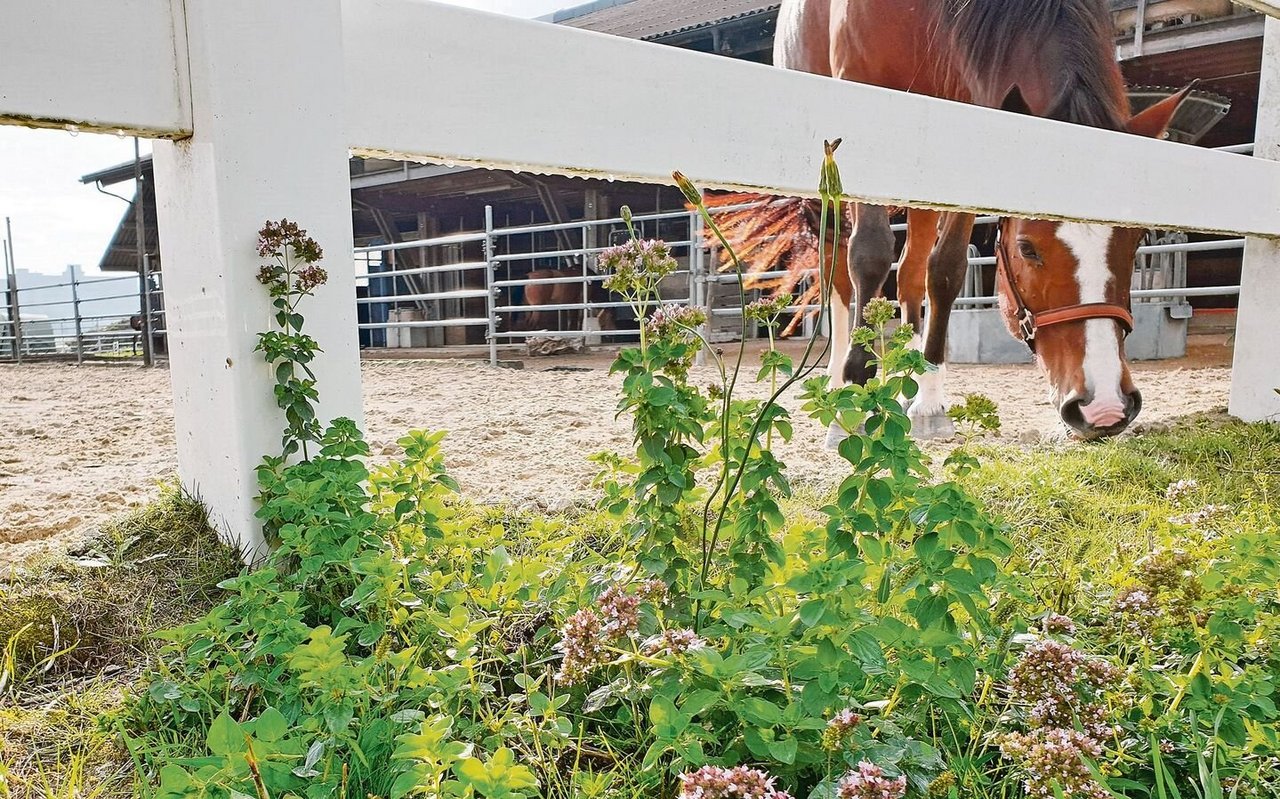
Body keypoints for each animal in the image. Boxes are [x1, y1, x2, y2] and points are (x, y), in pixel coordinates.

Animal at [721, 0, 1187, 443]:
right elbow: (869, 258)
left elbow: (945, 271)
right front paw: (854, 397)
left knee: (910, 274)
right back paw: (839, 388)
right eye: (1026, 247)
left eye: (1137, 240)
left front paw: (928, 404)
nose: (1104, 407)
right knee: (838, 273)